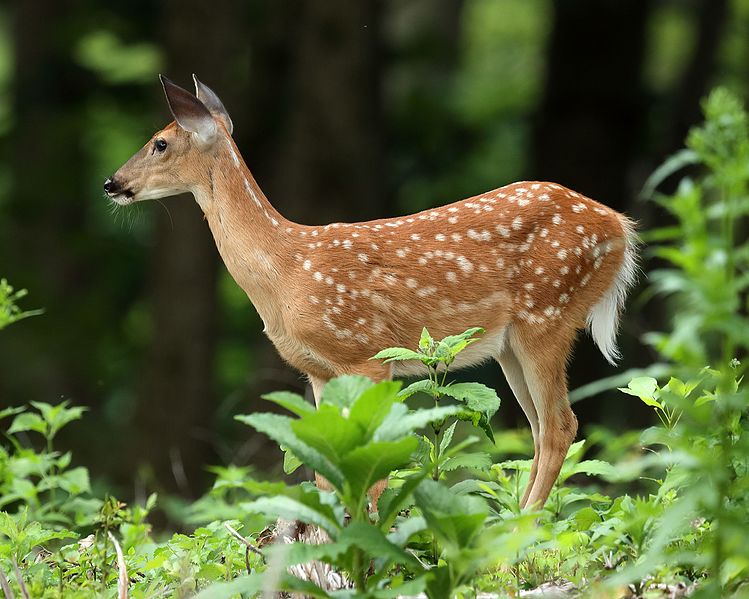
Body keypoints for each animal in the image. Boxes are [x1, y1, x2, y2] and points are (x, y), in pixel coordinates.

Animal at [105, 76, 636, 510]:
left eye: (159, 143)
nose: (112, 183)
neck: (284, 272)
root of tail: (620, 227)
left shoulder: (366, 353)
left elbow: (373, 465)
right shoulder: (319, 370)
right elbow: (326, 471)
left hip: (547, 313)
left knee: (561, 426)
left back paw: (518, 536)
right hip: (510, 343)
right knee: (540, 428)